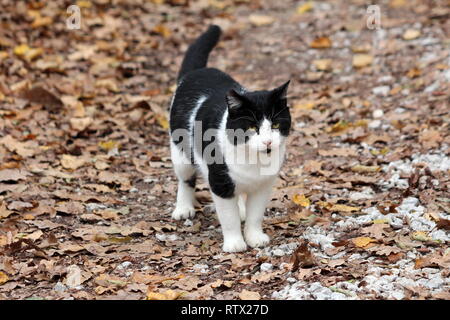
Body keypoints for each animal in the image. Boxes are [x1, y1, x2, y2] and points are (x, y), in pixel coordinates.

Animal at [169, 25, 292, 252]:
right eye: (252, 127)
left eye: (276, 125)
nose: (268, 142)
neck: (252, 159)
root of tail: (197, 72)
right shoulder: (220, 182)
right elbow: (228, 217)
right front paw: (235, 244)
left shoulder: (264, 185)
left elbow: (255, 215)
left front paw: (254, 237)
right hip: (179, 151)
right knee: (185, 178)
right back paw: (183, 207)